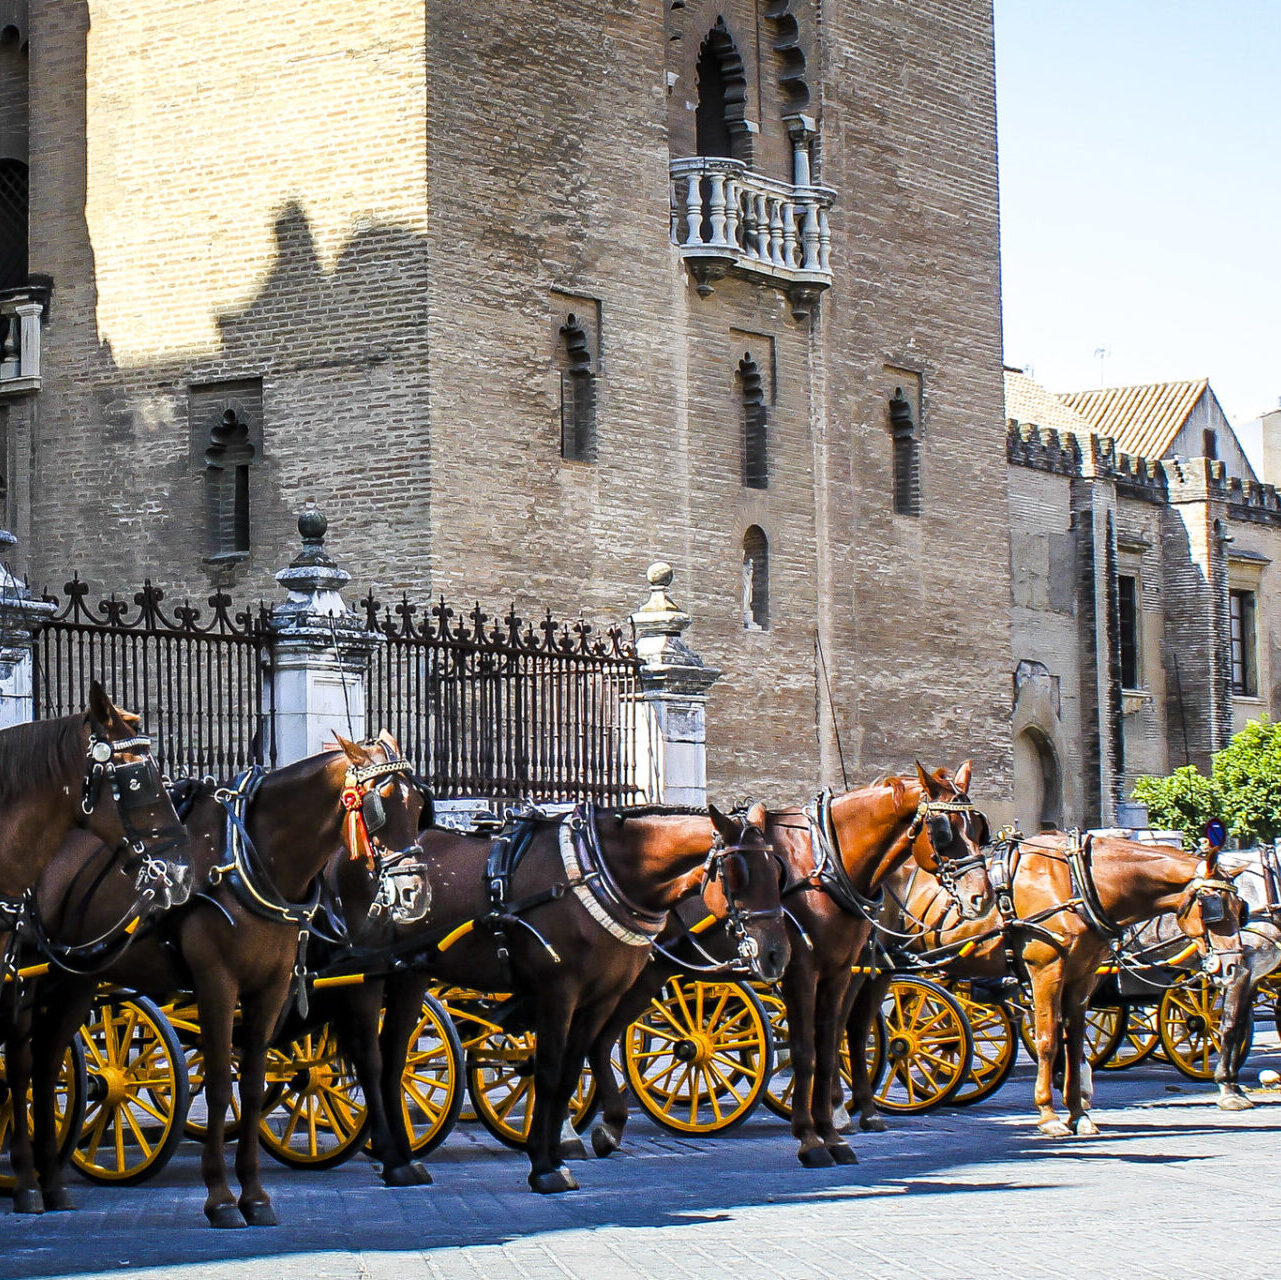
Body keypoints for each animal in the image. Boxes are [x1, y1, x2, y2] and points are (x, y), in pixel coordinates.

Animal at [11, 738, 420, 1224]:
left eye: (418, 807)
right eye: (380, 806)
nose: (415, 895)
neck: (248, 858)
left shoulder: (271, 987)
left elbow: (253, 1085)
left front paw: (255, 1196)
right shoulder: (216, 983)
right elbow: (222, 1083)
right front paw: (221, 1198)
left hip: (78, 978)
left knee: (46, 1059)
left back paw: (52, 1184)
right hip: (26, 975)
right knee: (18, 1064)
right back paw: (25, 1183)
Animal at [768, 763, 988, 1168]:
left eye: (979, 828)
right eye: (943, 831)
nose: (981, 897)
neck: (823, 864)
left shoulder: (845, 970)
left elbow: (832, 1044)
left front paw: (833, 1132)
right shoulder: (801, 972)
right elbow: (806, 1050)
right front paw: (809, 1138)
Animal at [845, 830, 1245, 1142]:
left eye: (1240, 908)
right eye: (1213, 908)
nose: (1233, 964)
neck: (1077, 883)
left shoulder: (1082, 977)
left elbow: (1074, 1042)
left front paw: (1079, 1112)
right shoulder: (1045, 970)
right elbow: (1049, 1039)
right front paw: (1049, 1115)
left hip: (883, 969)